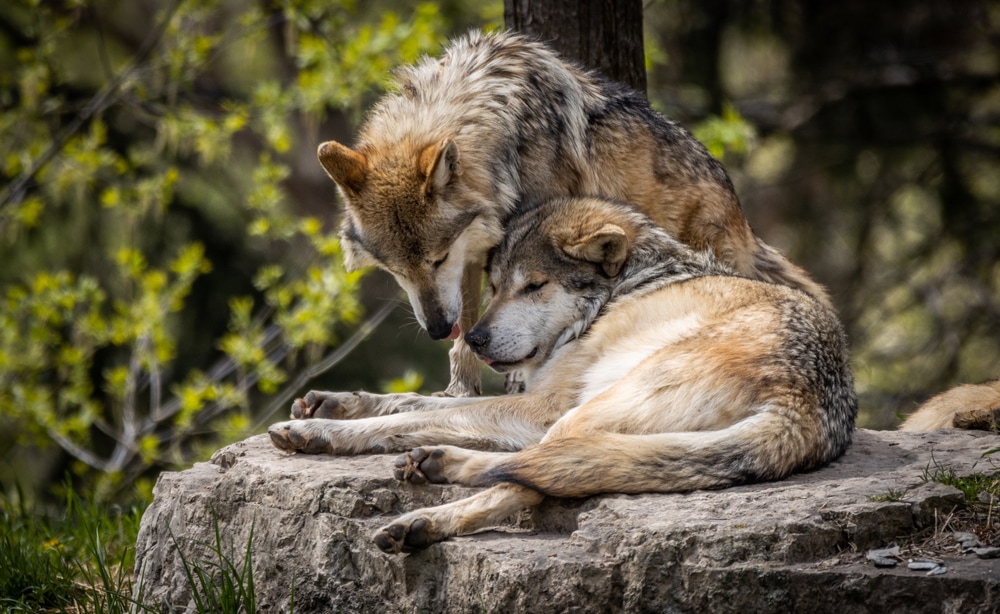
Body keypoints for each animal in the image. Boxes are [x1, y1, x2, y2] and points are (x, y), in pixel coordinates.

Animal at [268, 196, 857, 554]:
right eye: (496, 285)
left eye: (534, 286)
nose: (473, 338)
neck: (617, 293)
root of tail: (811, 405)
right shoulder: (531, 395)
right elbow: (415, 403)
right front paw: (330, 402)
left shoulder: (540, 405)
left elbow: (416, 417)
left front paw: (317, 431)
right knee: (540, 471)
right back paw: (429, 483)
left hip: (578, 416)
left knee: (530, 477)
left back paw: (421, 511)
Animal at [316, 29, 831, 396]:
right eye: (396, 270)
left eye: (437, 258)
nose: (437, 329)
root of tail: (740, 210)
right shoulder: (478, 256)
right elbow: (473, 325)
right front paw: (459, 389)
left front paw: (511, 380)